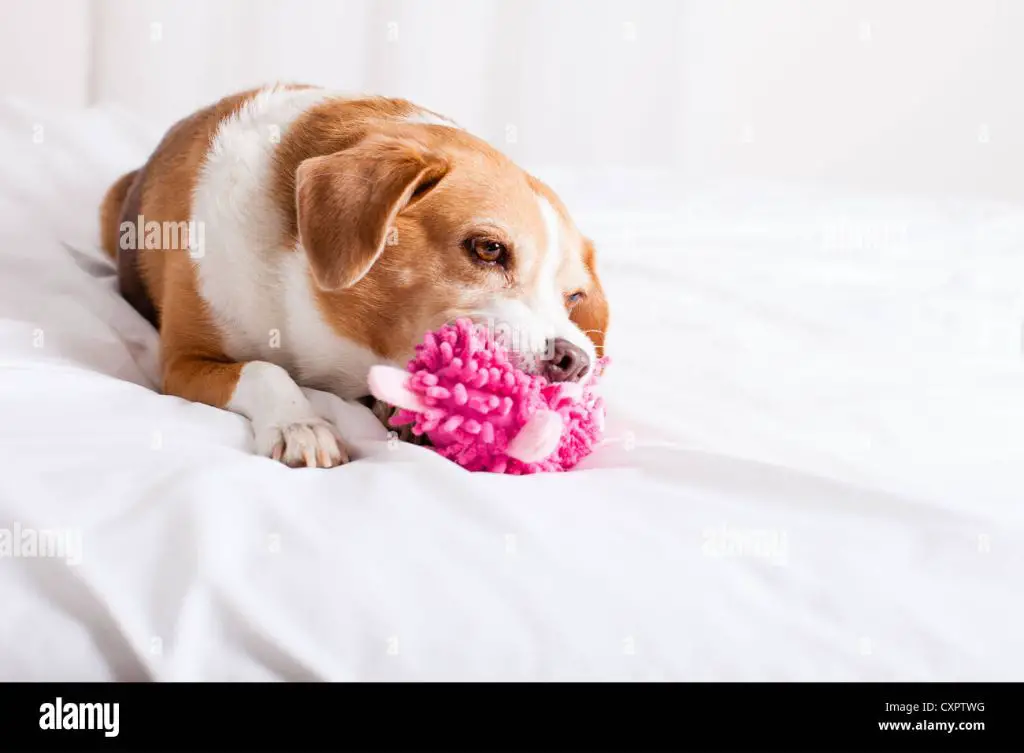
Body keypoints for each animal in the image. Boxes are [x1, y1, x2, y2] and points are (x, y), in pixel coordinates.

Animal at [97, 85, 606, 469]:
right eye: (488, 248)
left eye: (573, 297)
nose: (575, 361)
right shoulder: (181, 364)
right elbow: (263, 370)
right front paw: (299, 425)